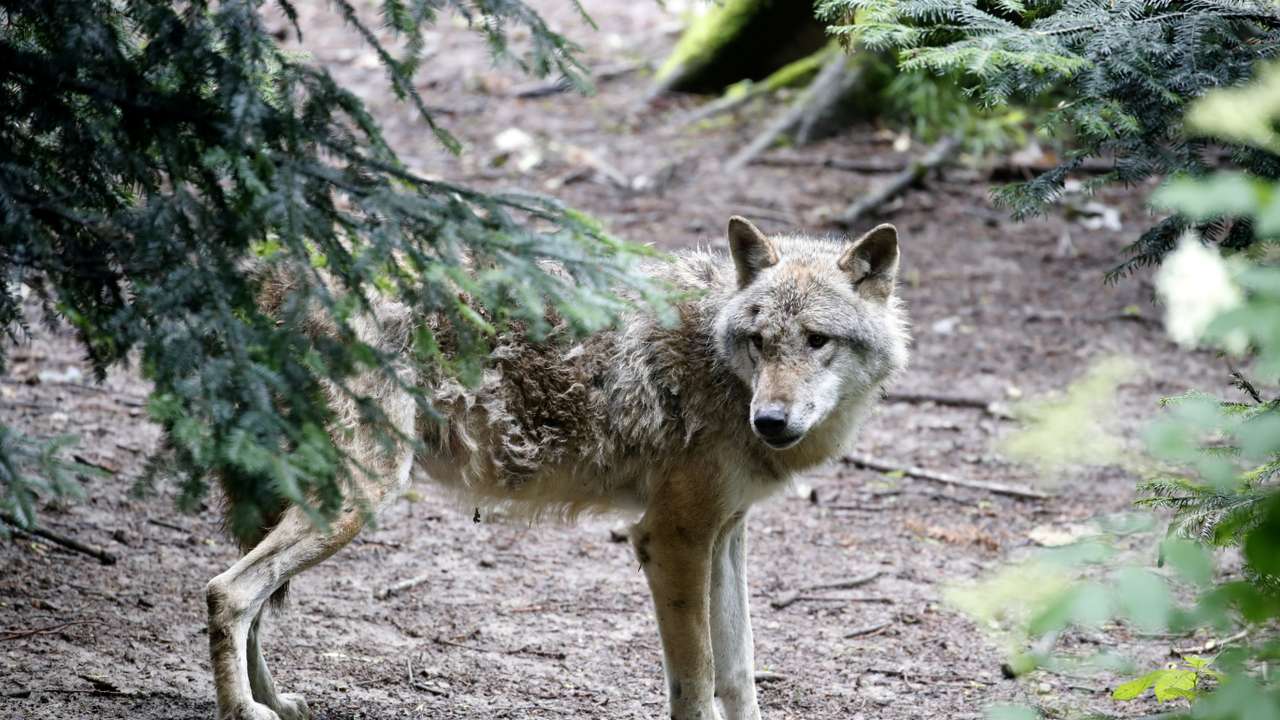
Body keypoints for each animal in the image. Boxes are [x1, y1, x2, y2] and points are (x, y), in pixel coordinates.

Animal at [204, 216, 910, 720]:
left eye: (817, 340)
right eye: (759, 342)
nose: (772, 421)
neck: (720, 367)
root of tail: (269, 280)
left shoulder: (726, 533)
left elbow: (738, 676)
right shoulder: (671, 538)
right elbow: (697, 682)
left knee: (253, 598)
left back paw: (274, 700)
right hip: (357, 499)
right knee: (228, 591)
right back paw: (244, 709)